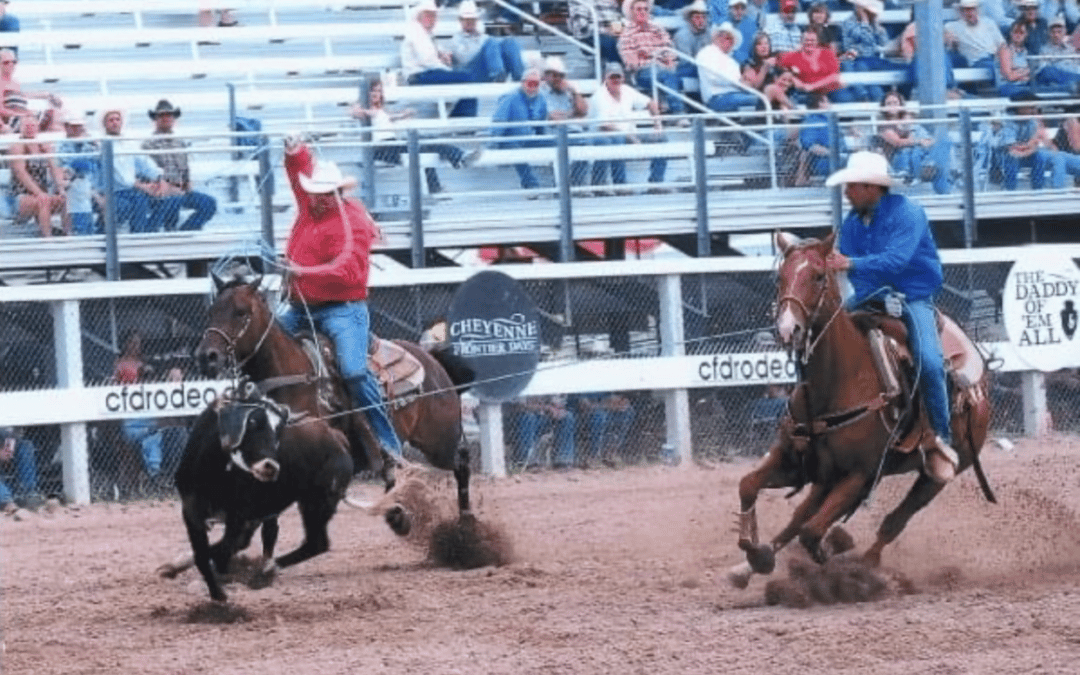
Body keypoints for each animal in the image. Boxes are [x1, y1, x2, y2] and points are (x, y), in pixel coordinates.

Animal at [193, 276, 477, 533]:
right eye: (211, 312)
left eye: (241, 312)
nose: (207, 356)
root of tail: (430, 358)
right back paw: (399, 515)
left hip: (439, 440)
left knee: (460, 463)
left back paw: (467, 524)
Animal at [725, 233, 993, 587]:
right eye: (780, 278)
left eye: (818, 276)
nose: (787, 328)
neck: (834, 384)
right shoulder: (796, 462)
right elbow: (749, 486)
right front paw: (755, 555)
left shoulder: (860, 476)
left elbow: (812, 533)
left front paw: (837, 556)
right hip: (825, 477)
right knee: (801, 515)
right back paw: (749, 566)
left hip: (941, 473)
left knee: (894, 521)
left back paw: (869, 565)